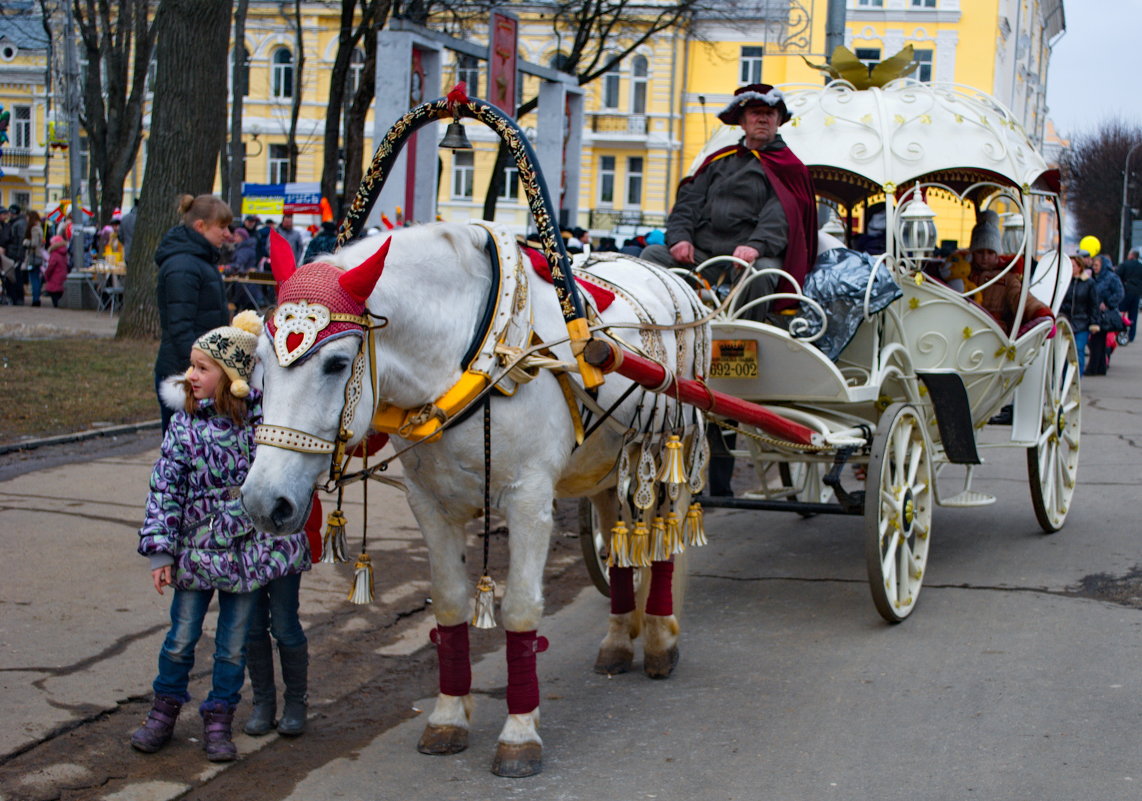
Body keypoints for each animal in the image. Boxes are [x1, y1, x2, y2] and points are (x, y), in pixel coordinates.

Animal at [242, 220, 708, 777]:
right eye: (259, 361)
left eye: (335, 364)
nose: (264, 502)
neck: (473, 354)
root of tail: (678, 278)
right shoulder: (430, 504)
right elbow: (448, 605)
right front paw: (448, 717)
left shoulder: (529, 500)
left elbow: (521, 610)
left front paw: (519, 732)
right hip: (605, 463)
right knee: (617, 540)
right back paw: (618, 639)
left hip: (672, 448)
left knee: (663, 541)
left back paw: (660, 639)